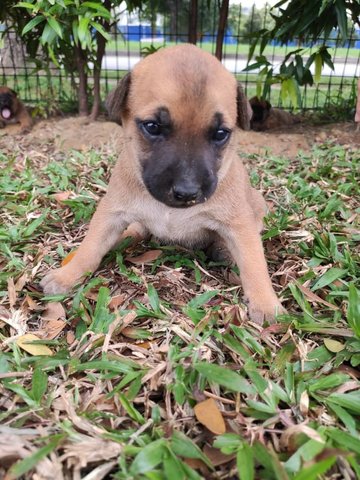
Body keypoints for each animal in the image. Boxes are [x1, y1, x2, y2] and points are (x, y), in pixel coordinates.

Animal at [40, 45, 286, 324]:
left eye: (221, 134)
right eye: (153, 127)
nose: (187, 192)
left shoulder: (240, 224)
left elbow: (255, 263)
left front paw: (266, 304)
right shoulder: (111, 213)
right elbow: (90, 247)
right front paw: (68, 275)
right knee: (138, 229)